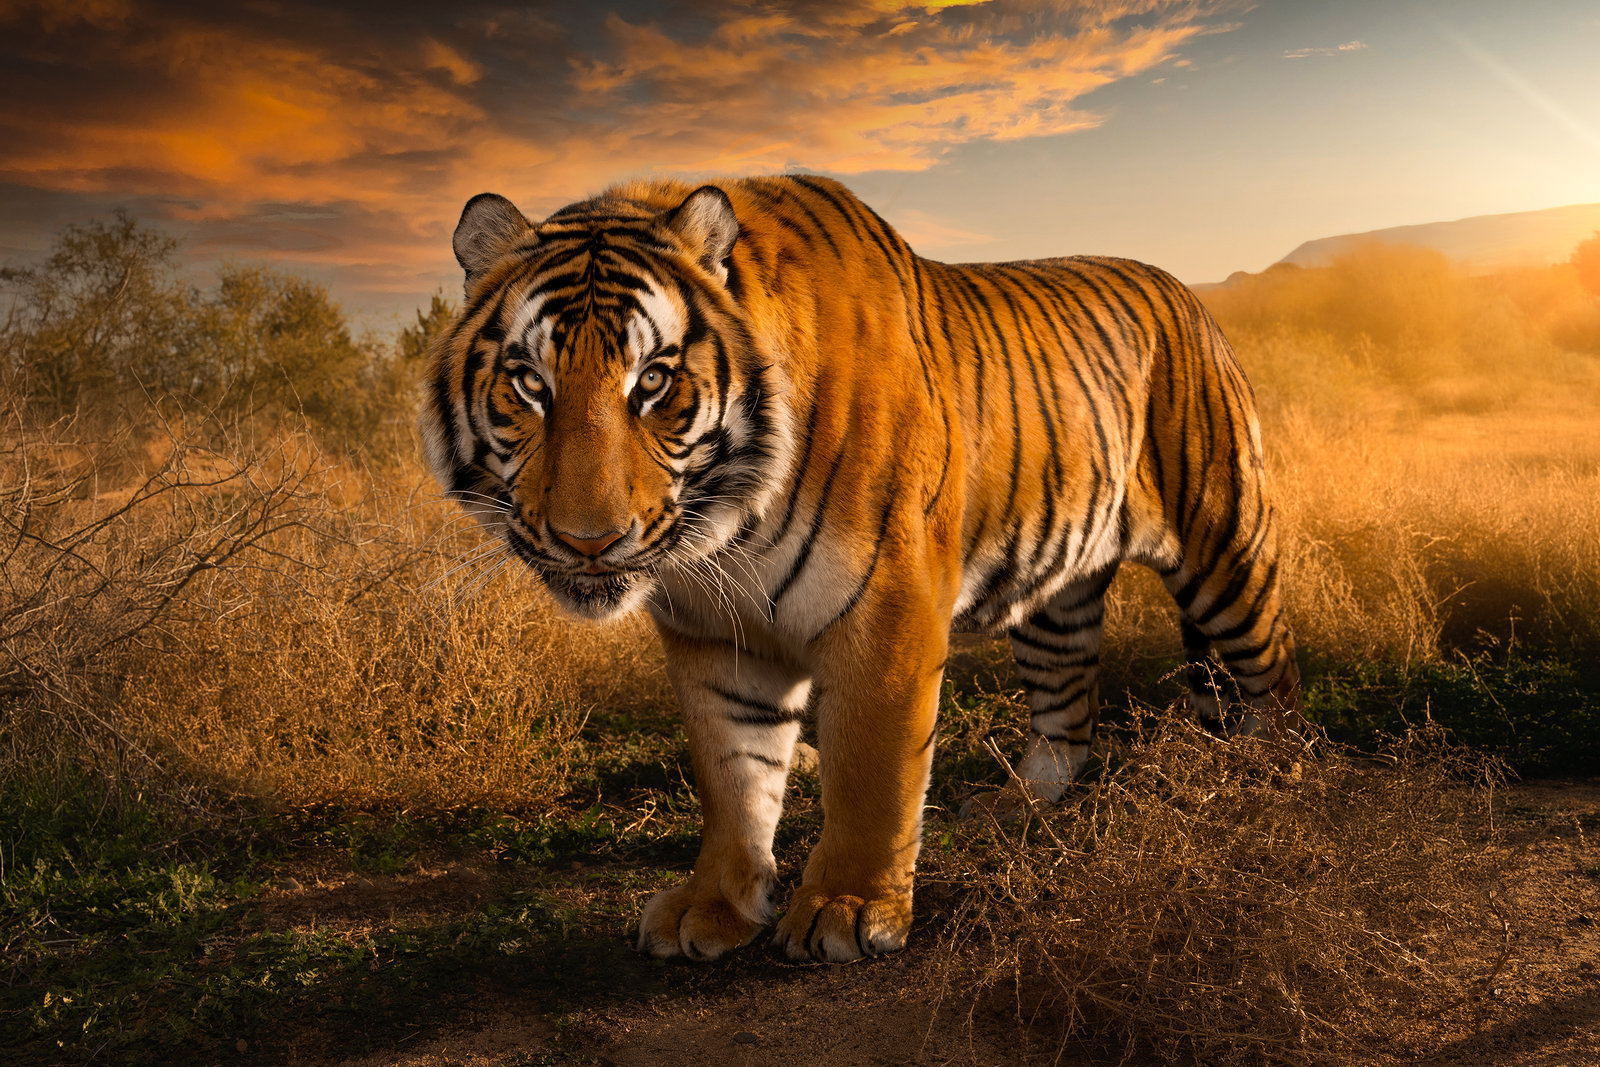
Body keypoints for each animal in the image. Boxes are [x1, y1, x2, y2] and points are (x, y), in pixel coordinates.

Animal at [420, 174, 1301, 964]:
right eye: (530, 383)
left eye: (654, 382)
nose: (589, 541)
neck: (724, 537)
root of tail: (1180, 287)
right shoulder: (716, 636)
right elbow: (733, 775)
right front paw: (715, 904)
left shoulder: (887, 606)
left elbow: (870, 766)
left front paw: (846, 907)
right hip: (1057, 595)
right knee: (1066, 708)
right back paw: (1017, 805)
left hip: (1224, 544)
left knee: (1270, 667)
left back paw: (1276, 773)